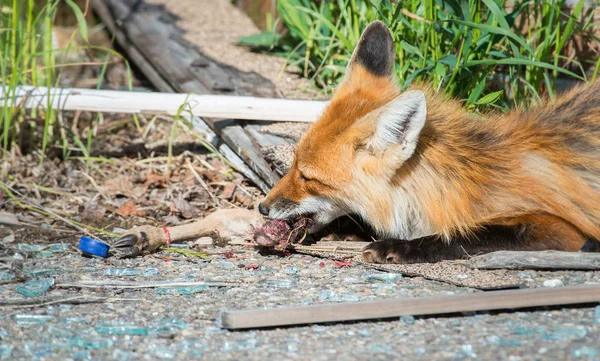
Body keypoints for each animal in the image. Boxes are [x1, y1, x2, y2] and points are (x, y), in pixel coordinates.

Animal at [258, 20, 600, 262]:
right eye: (293, 164)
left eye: (308, 177)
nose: (262, 207)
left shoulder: (560, 229)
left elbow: (469, 235)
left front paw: (404, 247)